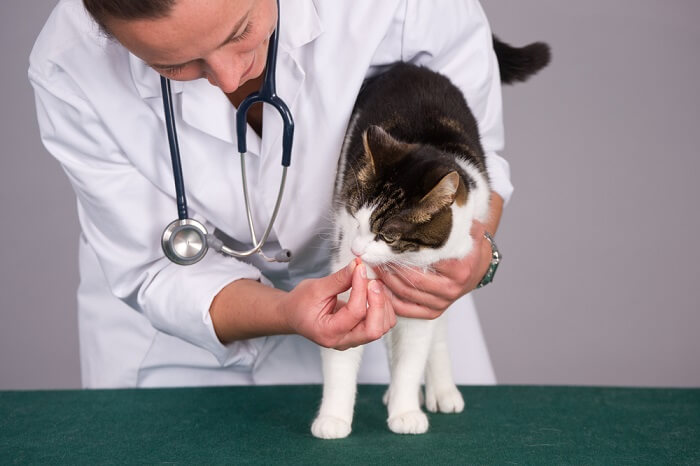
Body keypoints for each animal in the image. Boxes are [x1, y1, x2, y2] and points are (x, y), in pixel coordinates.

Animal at [310, 37, 548, 440]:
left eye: (387, 234)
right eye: (355, 219)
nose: (355, 249)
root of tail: (411, 67)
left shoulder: (426, 289)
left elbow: (414, 353)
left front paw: (406, 410)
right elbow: (343, 354)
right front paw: (334, 418)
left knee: (437, 333)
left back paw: (441, 390)